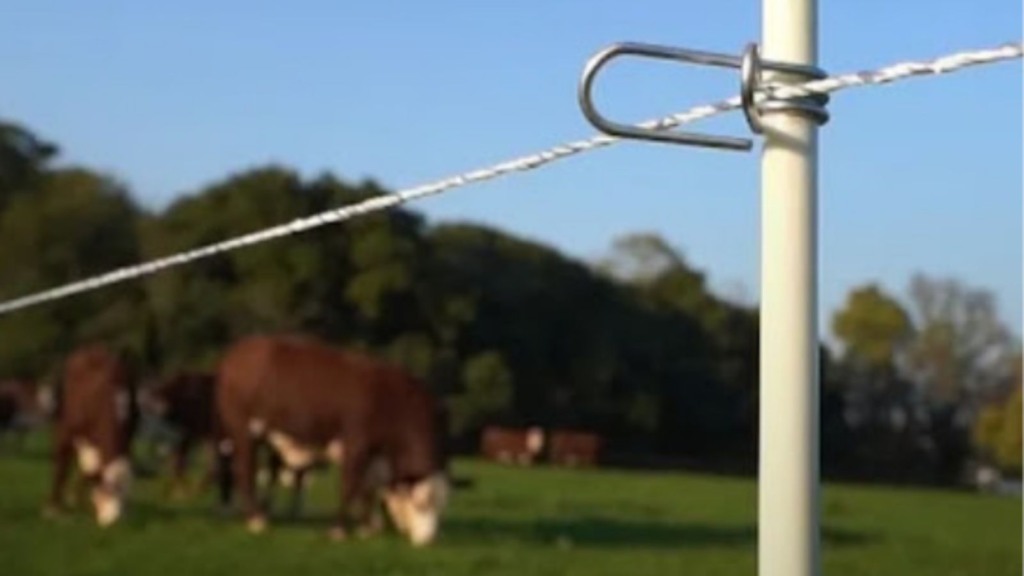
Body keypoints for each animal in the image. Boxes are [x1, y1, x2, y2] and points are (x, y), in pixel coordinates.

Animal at [45, 340, 139, 524]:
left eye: (124, 495)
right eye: (106, 492)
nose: (115, 521)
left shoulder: (130, 433)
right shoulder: (69, 429)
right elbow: (64, 464)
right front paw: (54, 509)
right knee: (66, 462)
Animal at [217, 332, 452, 541]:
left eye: (440, 505)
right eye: (421, 503)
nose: (428, 540)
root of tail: (241, 350)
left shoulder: (374, 458)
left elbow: (367, 489)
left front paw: (367, 528)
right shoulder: (356, 445)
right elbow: (351, 486)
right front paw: (338, 530)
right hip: (242, 430)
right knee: (245, 471)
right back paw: (255, 519)